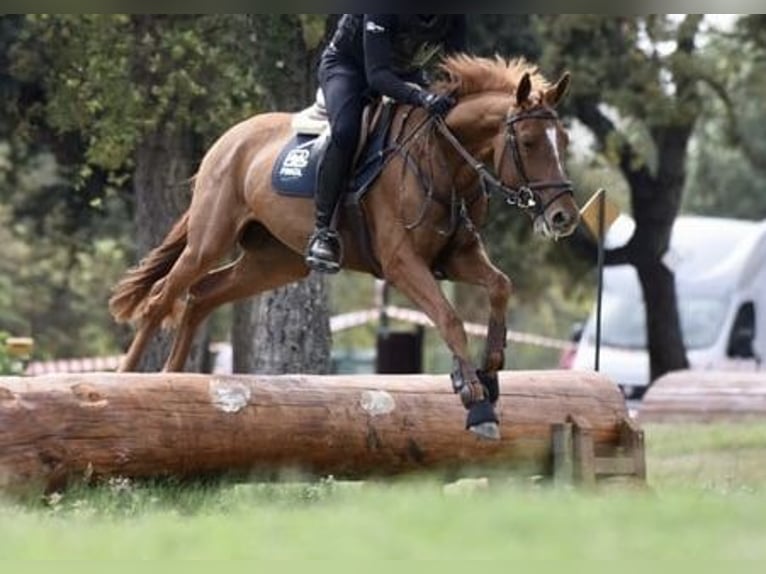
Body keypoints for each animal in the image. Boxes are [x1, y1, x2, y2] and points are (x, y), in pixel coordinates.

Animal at [109, 55, 580, 441]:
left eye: (564, 141)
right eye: (530, 143)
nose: (564, 217)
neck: (443, 161)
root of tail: (227, 141)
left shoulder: (456, 257)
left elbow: (500, 285)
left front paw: (492, 369)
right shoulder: (402, 263)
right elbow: (449, 319)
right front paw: (476, 401)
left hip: (274, 262)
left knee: (202, 294)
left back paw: (171, 382)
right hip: (210, 238)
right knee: (161, 298)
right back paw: (125, 381)